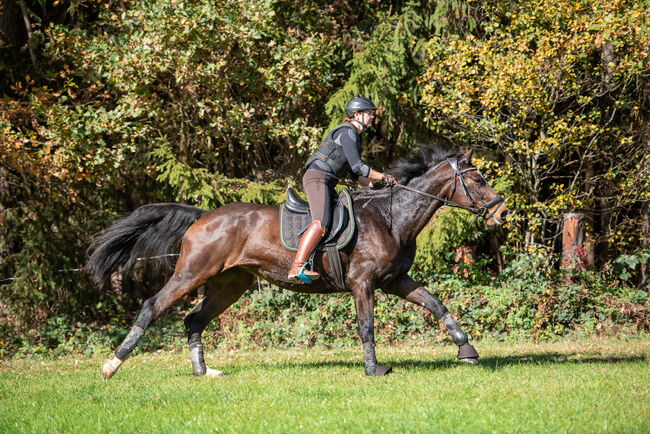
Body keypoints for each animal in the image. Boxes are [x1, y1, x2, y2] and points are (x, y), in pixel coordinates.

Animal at [86, 146, 508, 376]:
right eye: (478, 178)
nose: (502, 214)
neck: (393, 216)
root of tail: (203, 216)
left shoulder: (394, 280)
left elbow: (437, 305)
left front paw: (466, 351)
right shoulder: (363, 283)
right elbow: (367, 326)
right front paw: (374, 369)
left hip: (229, 283)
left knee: (193, 320)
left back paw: (203, 372)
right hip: (192, 272)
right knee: (152, 306)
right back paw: (112, 365)